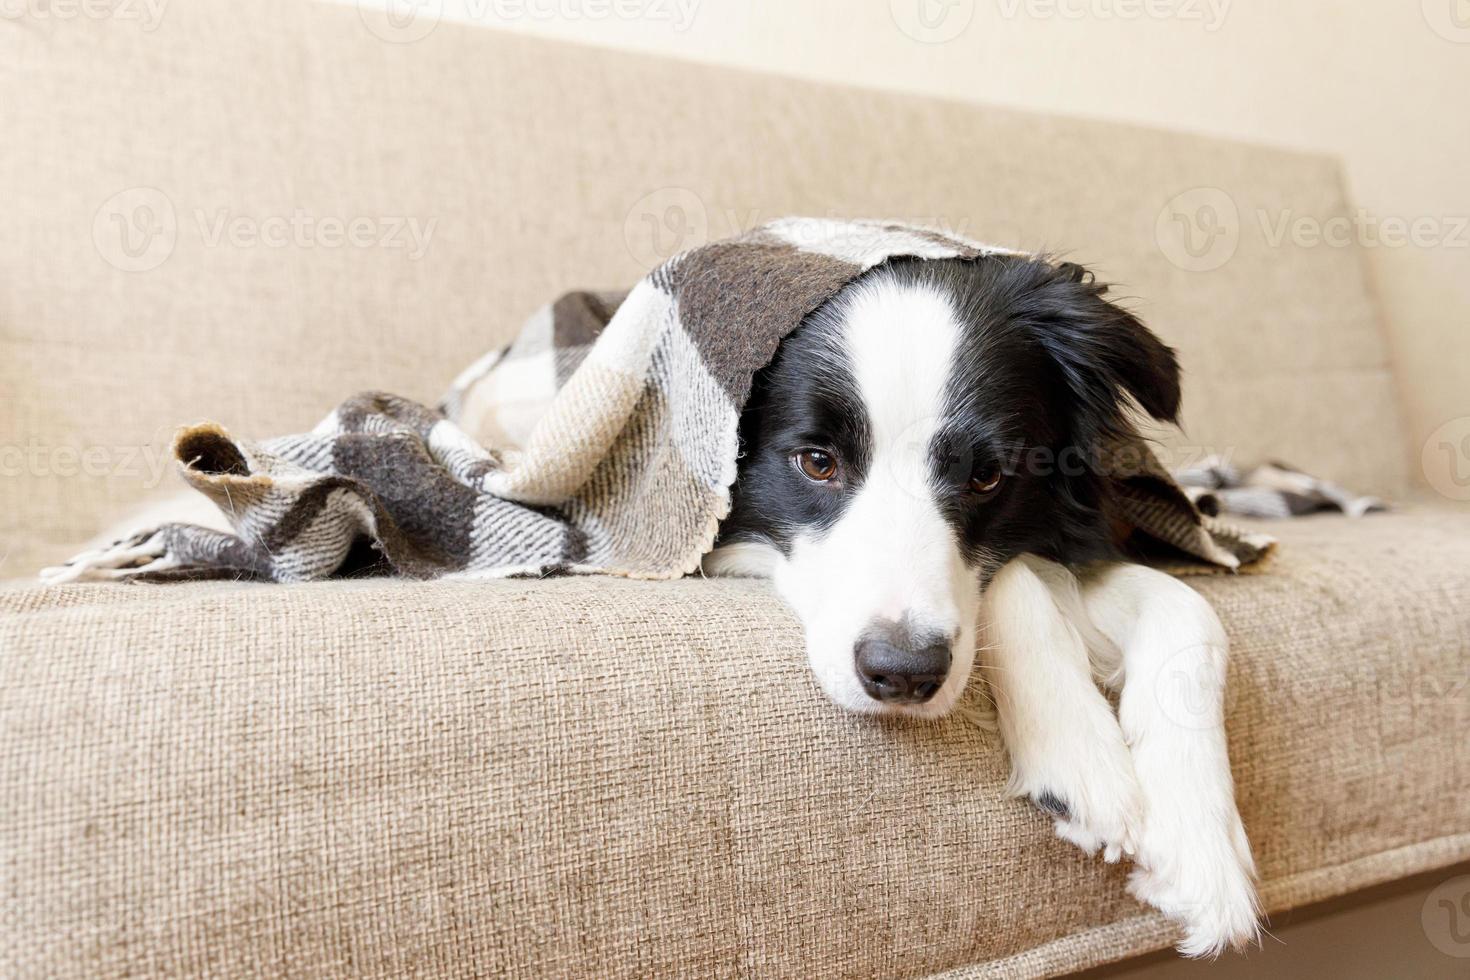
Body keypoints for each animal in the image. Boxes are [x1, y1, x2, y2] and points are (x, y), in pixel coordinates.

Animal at [705, 252, 1258, 957]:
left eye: (986, 476)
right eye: (817, 462)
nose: (902, 674)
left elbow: (1193, 611)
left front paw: (1202, 848)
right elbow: (1015, 577)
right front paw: (1078, 752)